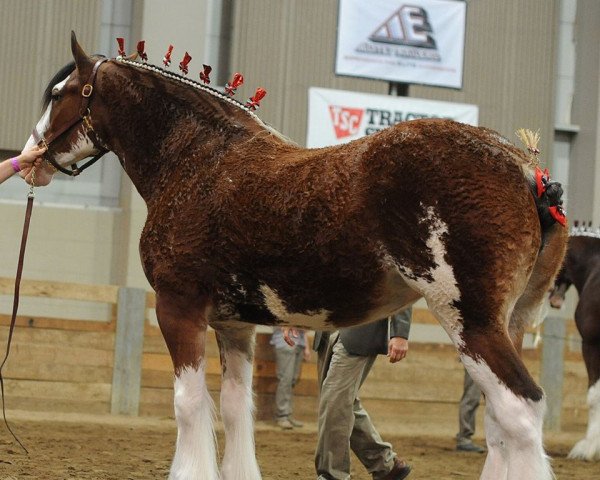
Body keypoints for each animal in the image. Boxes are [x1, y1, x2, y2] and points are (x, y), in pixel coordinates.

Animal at [22, 31, 568, 478]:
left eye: (59, 93)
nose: (29, 159)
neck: (198, 161)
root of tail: (526, 170)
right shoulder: (234, 325)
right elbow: (237, 410)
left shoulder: (179, 309)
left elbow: (189, 405)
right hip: (508, 325)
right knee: (499, 424)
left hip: (470, 322)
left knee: (521, 413)